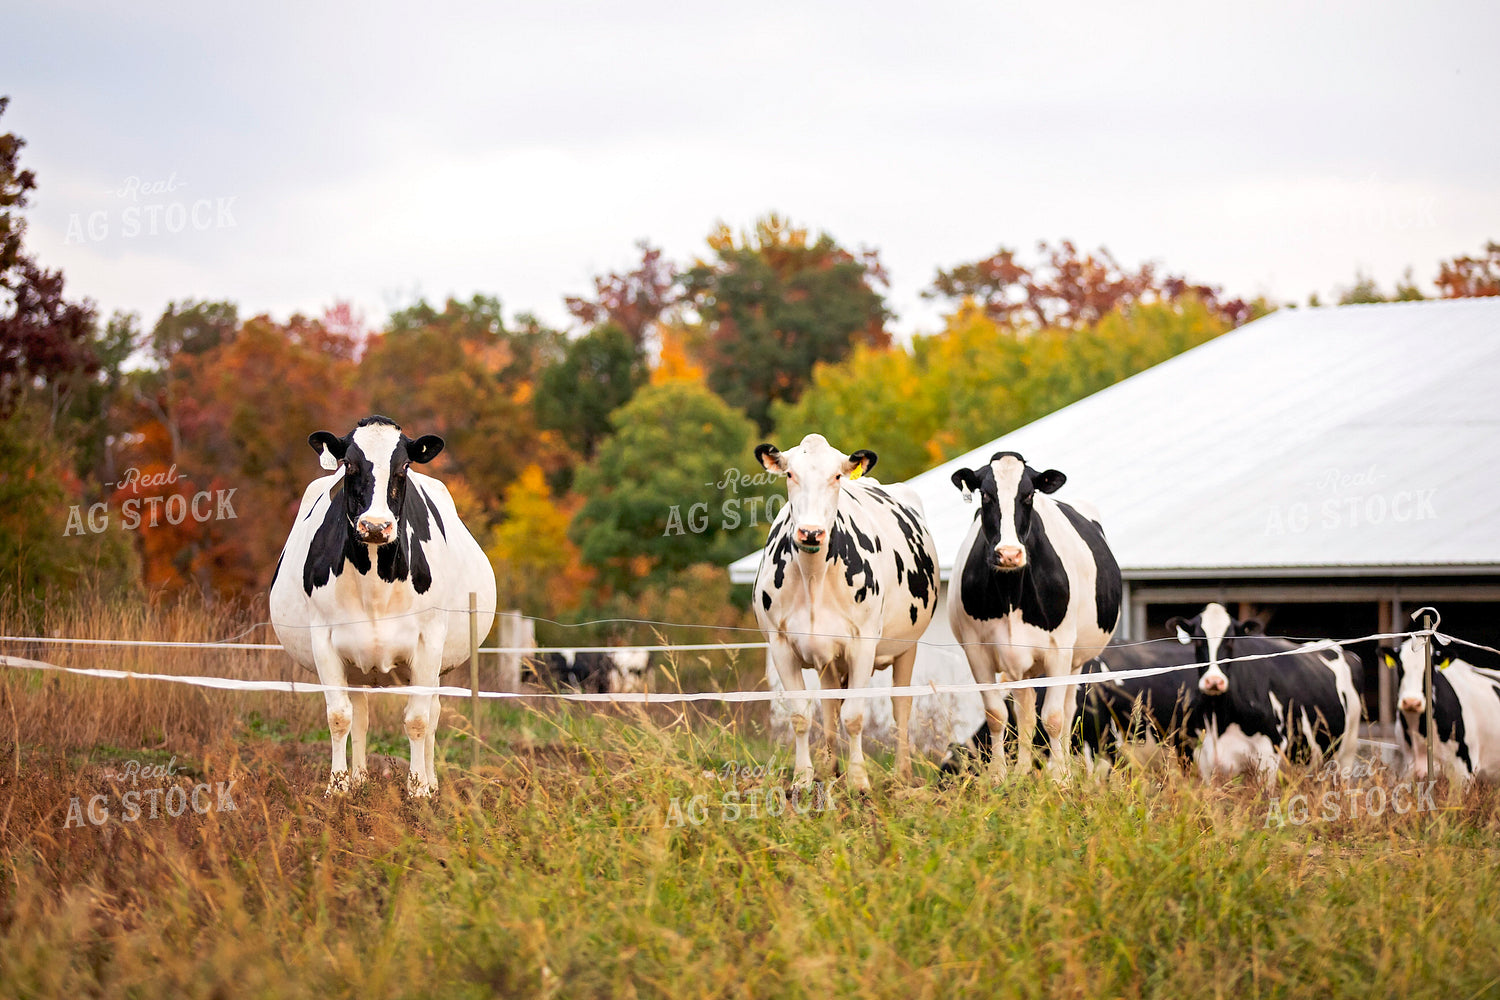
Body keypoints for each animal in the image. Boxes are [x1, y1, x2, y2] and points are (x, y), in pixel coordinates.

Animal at [269, 416, 497, 797]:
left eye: (404, 466)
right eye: (349, 464)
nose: (375, 526)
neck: (374, 584)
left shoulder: (429, 642)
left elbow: (418, 719)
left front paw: (418, 790)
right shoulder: (324, 640)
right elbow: (339, 716)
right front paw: (337, 788)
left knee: (433, 713)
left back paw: (432, 784)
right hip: (356, 666)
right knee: (360, 714)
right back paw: (360, 779)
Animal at [753, 433, 940, 791]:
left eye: (837, 476)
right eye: (790, 474)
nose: (811, 532)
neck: (813, 578)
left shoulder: (863, 643)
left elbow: (854, 715)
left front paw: (859, 781)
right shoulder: (780, 644)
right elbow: (802, 714)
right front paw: (804, 778)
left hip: (907, 646)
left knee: (901, 706)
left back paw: (902, 774)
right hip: (828, 660)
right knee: (829, 705)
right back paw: (829, 769)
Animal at [947, 452, 1121, 779]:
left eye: (1028, 495)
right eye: (985, 494)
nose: (1009, 553)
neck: (1012, 591)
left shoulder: (1060, 649)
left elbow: (1053, 717)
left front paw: (1058, 778)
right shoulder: (976, 650)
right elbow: (997, 714)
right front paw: (999, 775)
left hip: (1076, 660)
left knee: (1066, 711)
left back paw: (1063, 767)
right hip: (1022, 666)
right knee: (1025, 712)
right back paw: (1022, 770)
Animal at [1168, 603, 1361, 785]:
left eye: (1230, 641)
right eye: (1197, 642)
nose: (1214, 681)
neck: (1219, 718)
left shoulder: (1269, 752)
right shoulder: (1204, 759)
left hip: (1348, 749)